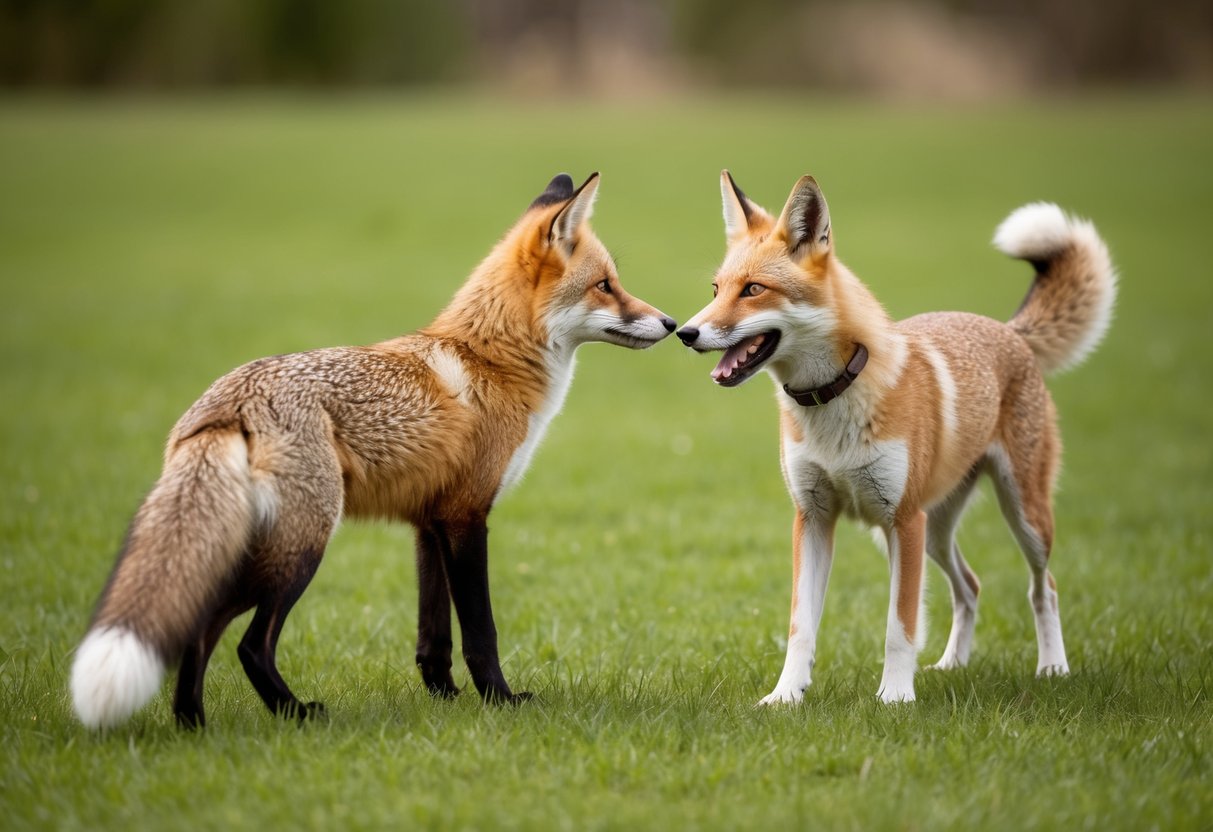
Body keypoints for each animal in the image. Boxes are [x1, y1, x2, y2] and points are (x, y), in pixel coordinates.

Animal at [70, 172, 677, 729]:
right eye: (605, 285)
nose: (672, 323)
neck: (491, 361)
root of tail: (230, 398)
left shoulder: (430, 522)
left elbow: (434, 639)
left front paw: (445, 701)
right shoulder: (466, 517)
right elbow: (480, 631)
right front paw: (500, 701)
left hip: (255, 543)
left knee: (198, 631)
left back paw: (192, 724)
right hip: (303, 545)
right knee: (248, 644)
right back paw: (296, 714)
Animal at [677, 171, 1115, 705]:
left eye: (753, 289)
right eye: (716, 289)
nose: (684, 332)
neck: (833, 403)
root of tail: (1008, 330)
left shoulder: (902, 520)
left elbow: (899, 627)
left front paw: (895, 699)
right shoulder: (814, 518)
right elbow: (801, 627)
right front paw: (786, 696)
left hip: (1018, 518)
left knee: (1042, 587)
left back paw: (1052, 667)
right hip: (935, 532)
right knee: (971, 587)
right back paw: (952, 665)